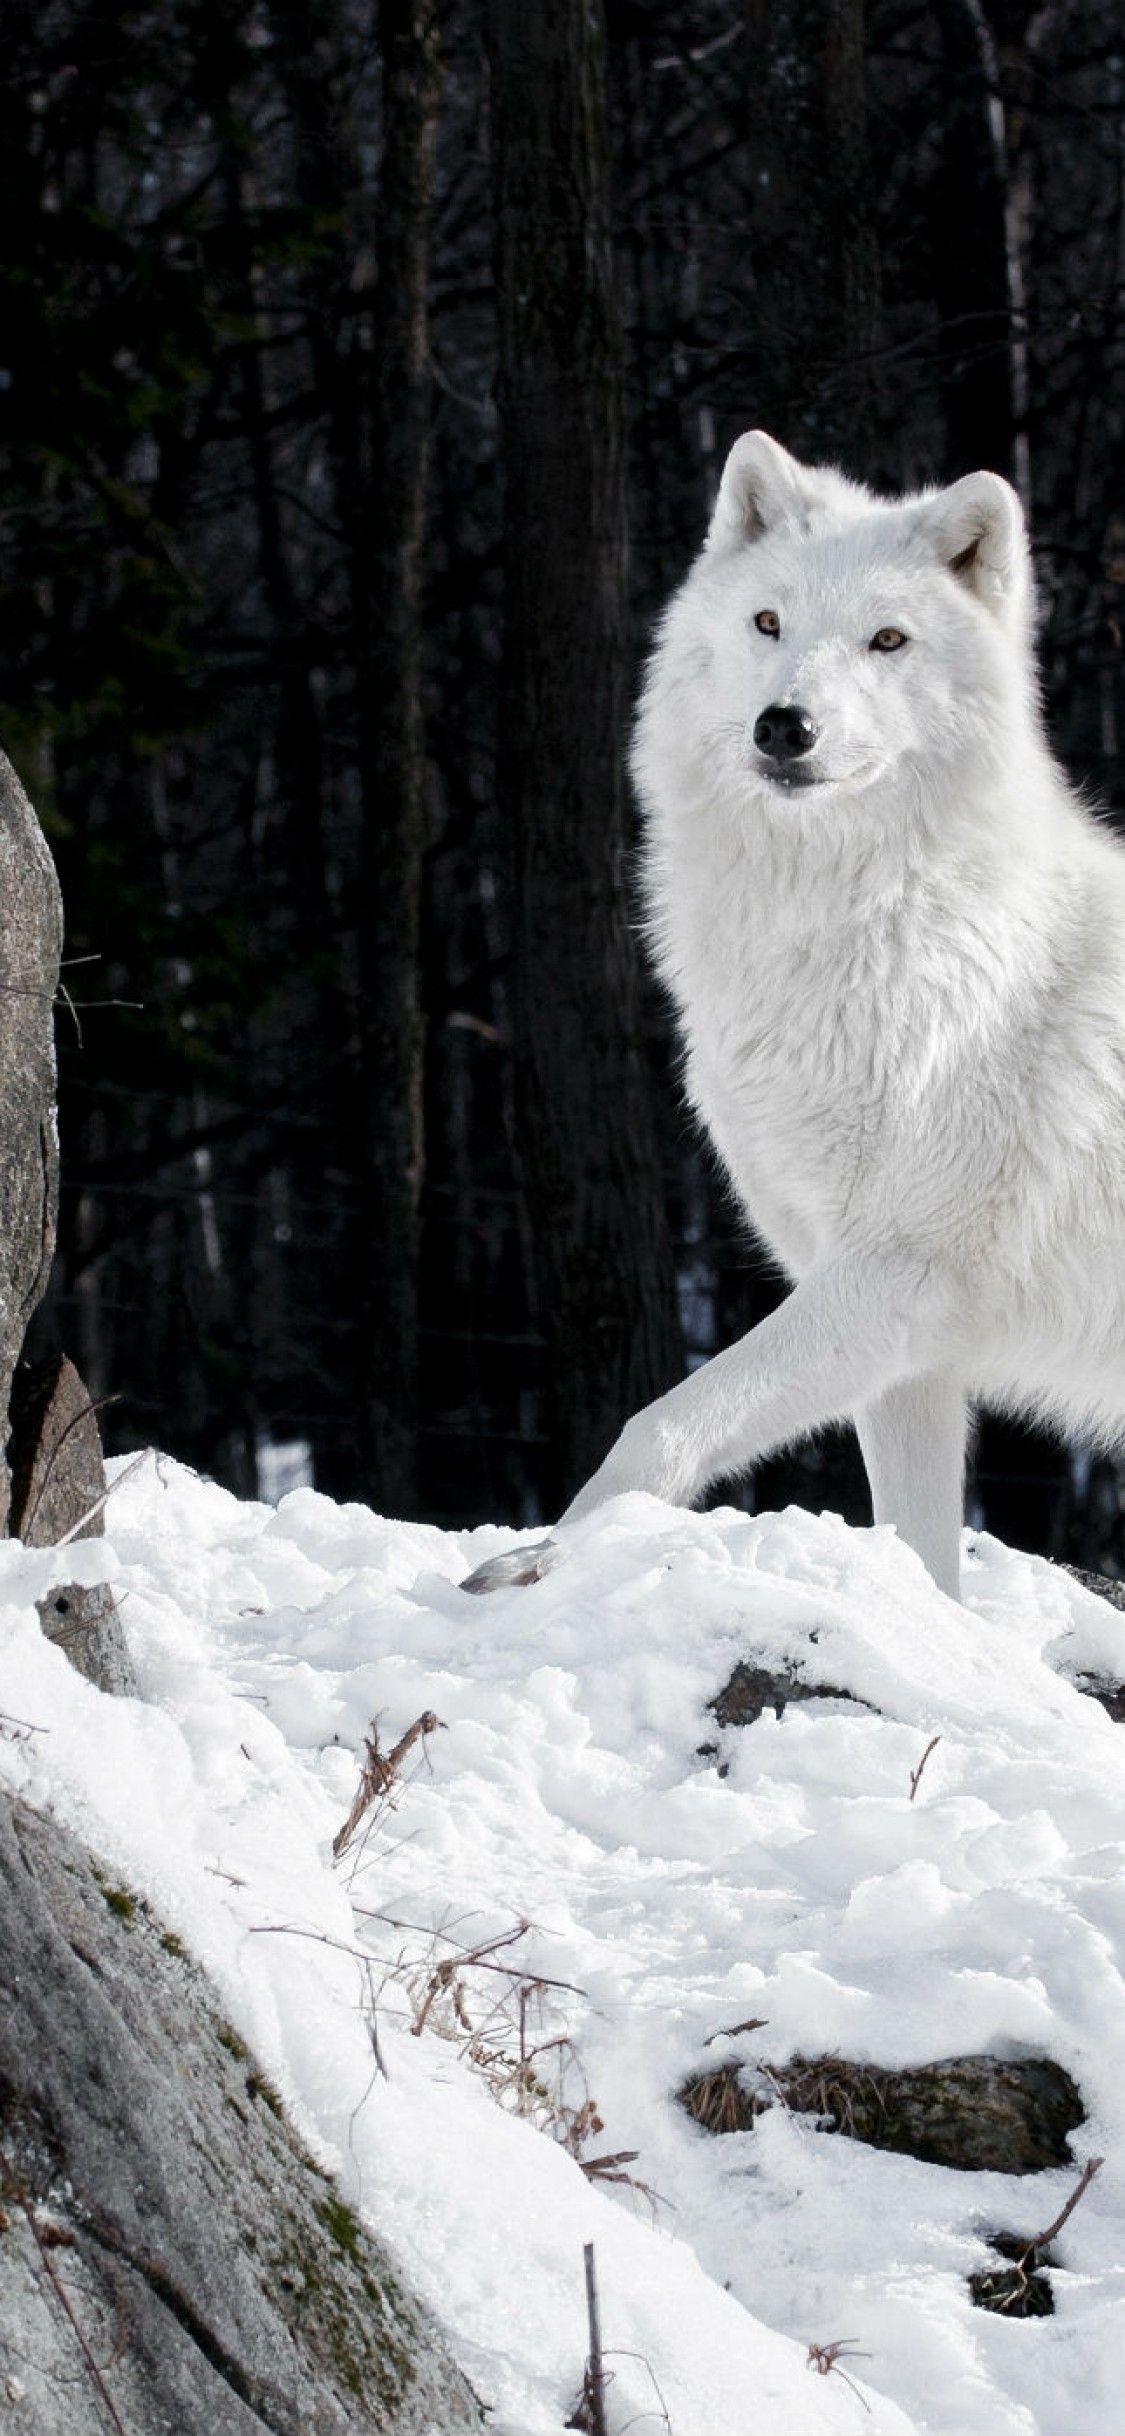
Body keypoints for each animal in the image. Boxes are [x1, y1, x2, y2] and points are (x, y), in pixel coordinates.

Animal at [468, 434, 1125, 1603]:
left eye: (887, 639)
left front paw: (545, 1559)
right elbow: (920, 1556)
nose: (786, 726)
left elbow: (656, 1426)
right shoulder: (897, 1339)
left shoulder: (889, 1276)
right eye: (768, 623)